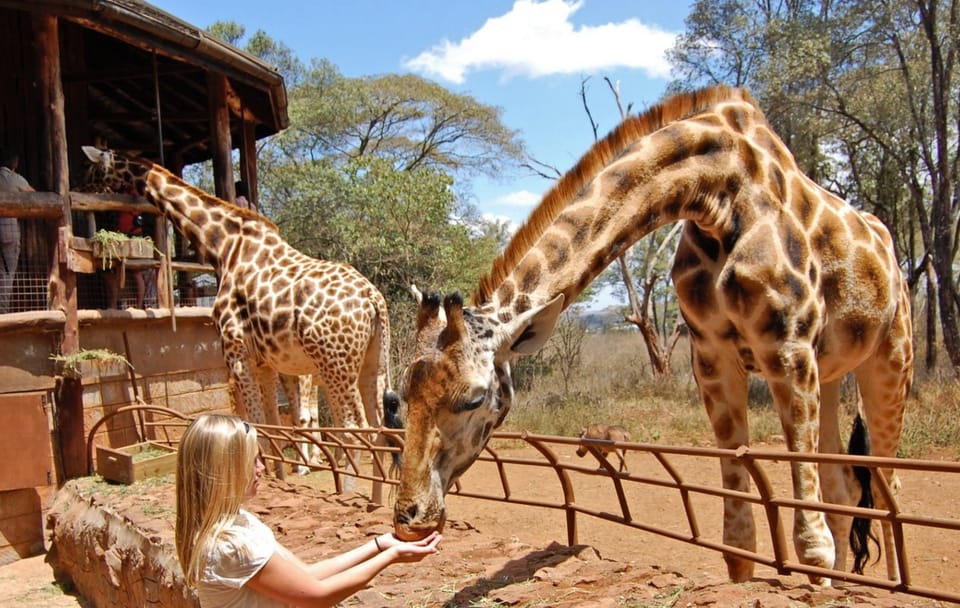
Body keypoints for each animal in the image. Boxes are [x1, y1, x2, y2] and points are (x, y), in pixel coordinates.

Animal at [80, 145, 393, 501]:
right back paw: (375, 499)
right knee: (379, 426)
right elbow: (272, 423)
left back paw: (349, 494)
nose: (83, 192)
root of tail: (373, 299)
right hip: (372, 361)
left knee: (354, 429)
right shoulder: (265, 361)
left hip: (334, 364)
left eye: (92, 170)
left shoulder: (234, 350)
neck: (223, 246)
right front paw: (278, 477)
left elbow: (256, 424)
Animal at [389, 86, 913, 585]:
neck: (718, 194)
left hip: (889, 361)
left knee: (890, 487)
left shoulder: (787, 347)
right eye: (403, 395)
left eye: (475, 398)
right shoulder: (712, 358)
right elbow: (738, 538)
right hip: (831, 372)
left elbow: (812, 540)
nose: (410, 519)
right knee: (844, 482)